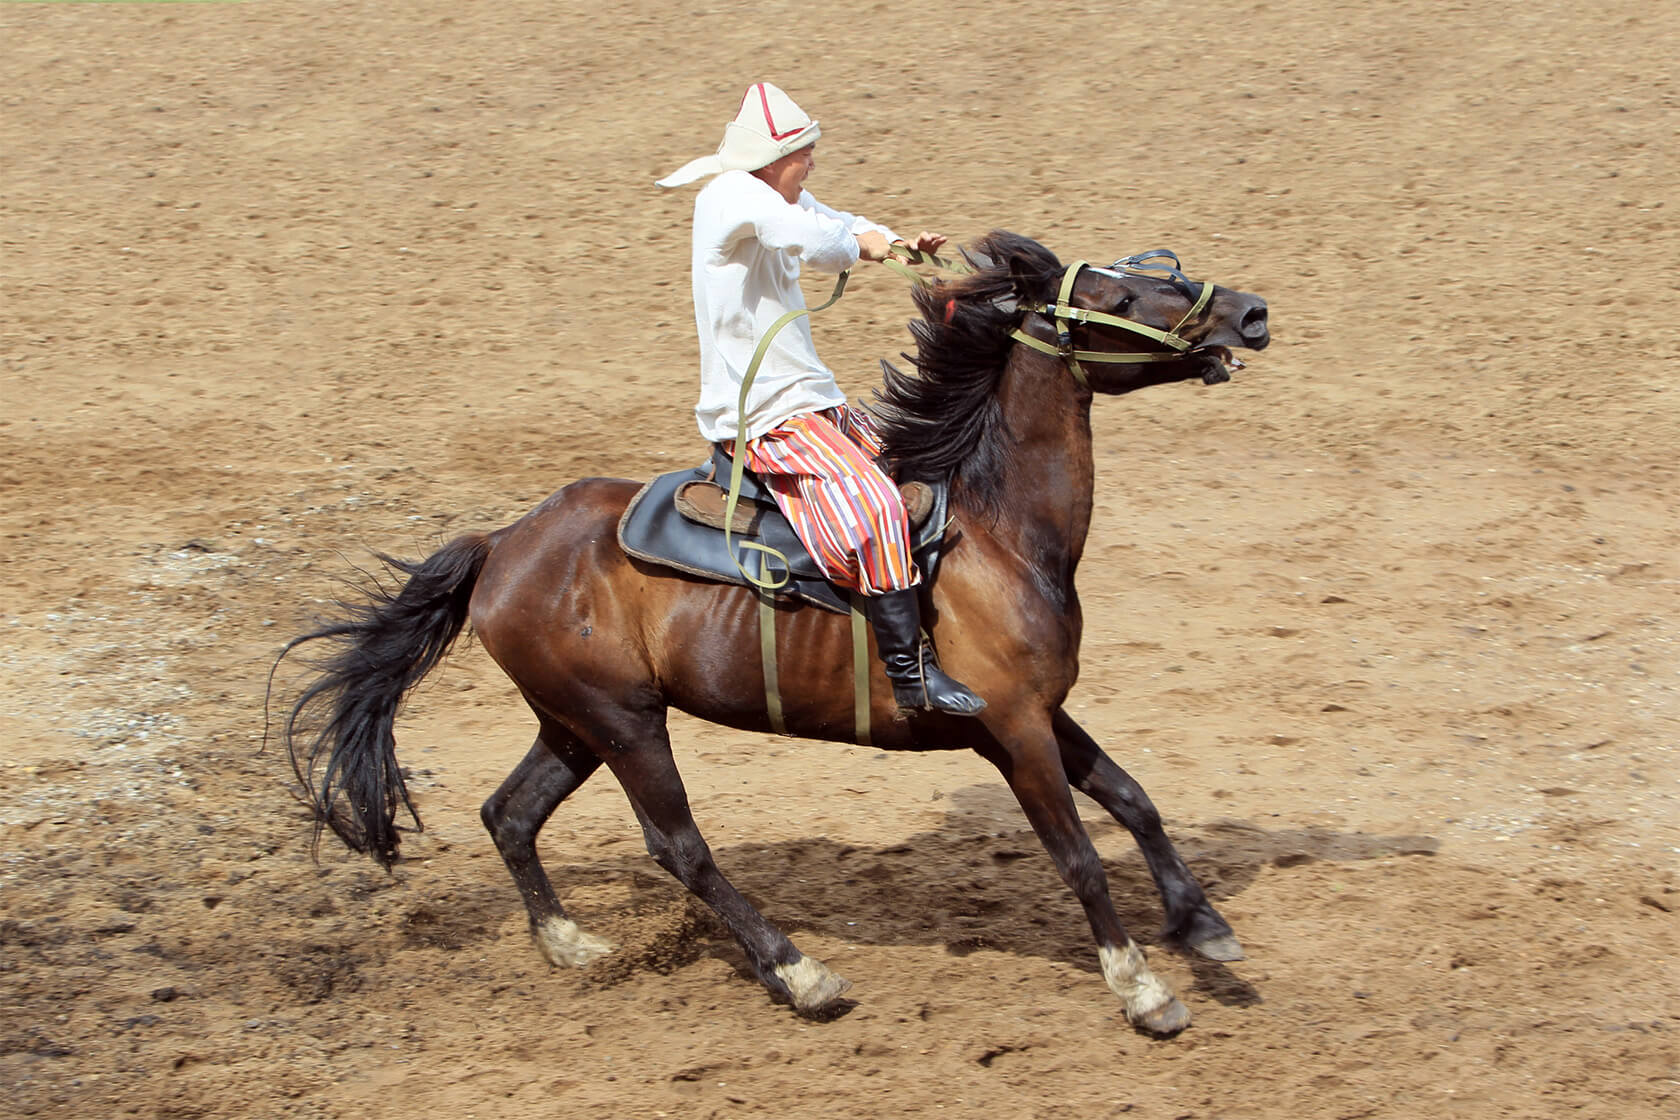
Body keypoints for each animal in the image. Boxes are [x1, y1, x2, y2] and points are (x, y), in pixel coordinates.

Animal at [278, 231, 1270, 1041]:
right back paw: (799, 973)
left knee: (510, 813)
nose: (1251, 312)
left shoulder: (1039, 713)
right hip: (626, 724)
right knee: (678, 847)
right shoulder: (1012, 728)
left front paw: (1203, 923)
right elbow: (1080, 859)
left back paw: (571, 945)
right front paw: (1144, 990)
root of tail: (503, 542)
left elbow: (1133, 798)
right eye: (1117, 296)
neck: (997, 536)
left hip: (575, 724)